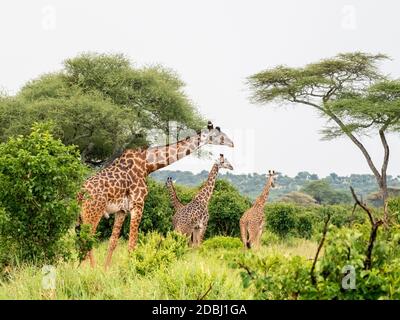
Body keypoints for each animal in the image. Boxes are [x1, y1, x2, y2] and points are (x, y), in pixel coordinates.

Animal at [77, 121, 233, 268]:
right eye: (220, 135)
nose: (232, 143)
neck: (148, 165)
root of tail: (80, 192)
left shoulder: (122, 210)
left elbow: (113, 242)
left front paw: (105, 270)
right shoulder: (138, 204)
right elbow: (132, 244)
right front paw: (129, 270)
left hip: (83, 214)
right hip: (93, 211)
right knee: (87, 238)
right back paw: (88, 269)